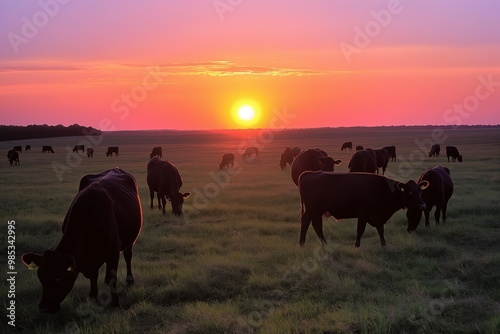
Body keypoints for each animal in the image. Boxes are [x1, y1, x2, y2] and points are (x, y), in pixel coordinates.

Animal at [21, 168, 143, 314]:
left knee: (128, 256)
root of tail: (116, 168)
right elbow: (93, 276)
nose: (44, 307)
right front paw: (93, 297)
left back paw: (130, 280)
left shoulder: (113, 251)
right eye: (40, 277)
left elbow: (111, 279)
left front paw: (115, 303)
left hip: (130, 241)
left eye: (59, 277)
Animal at [298, 171, 428, 247]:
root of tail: (310, 173)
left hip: (317, 211)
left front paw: (384, 243)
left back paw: (324, 243)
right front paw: (357, 245)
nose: (423, 205)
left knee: (316, 224)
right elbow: (360, 230)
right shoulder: (363, 215)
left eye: (420, 191)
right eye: (410, 192)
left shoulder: (378, 216)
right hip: (311, 209)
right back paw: (302, 243)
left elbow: (380, 230)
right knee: (305, 222)